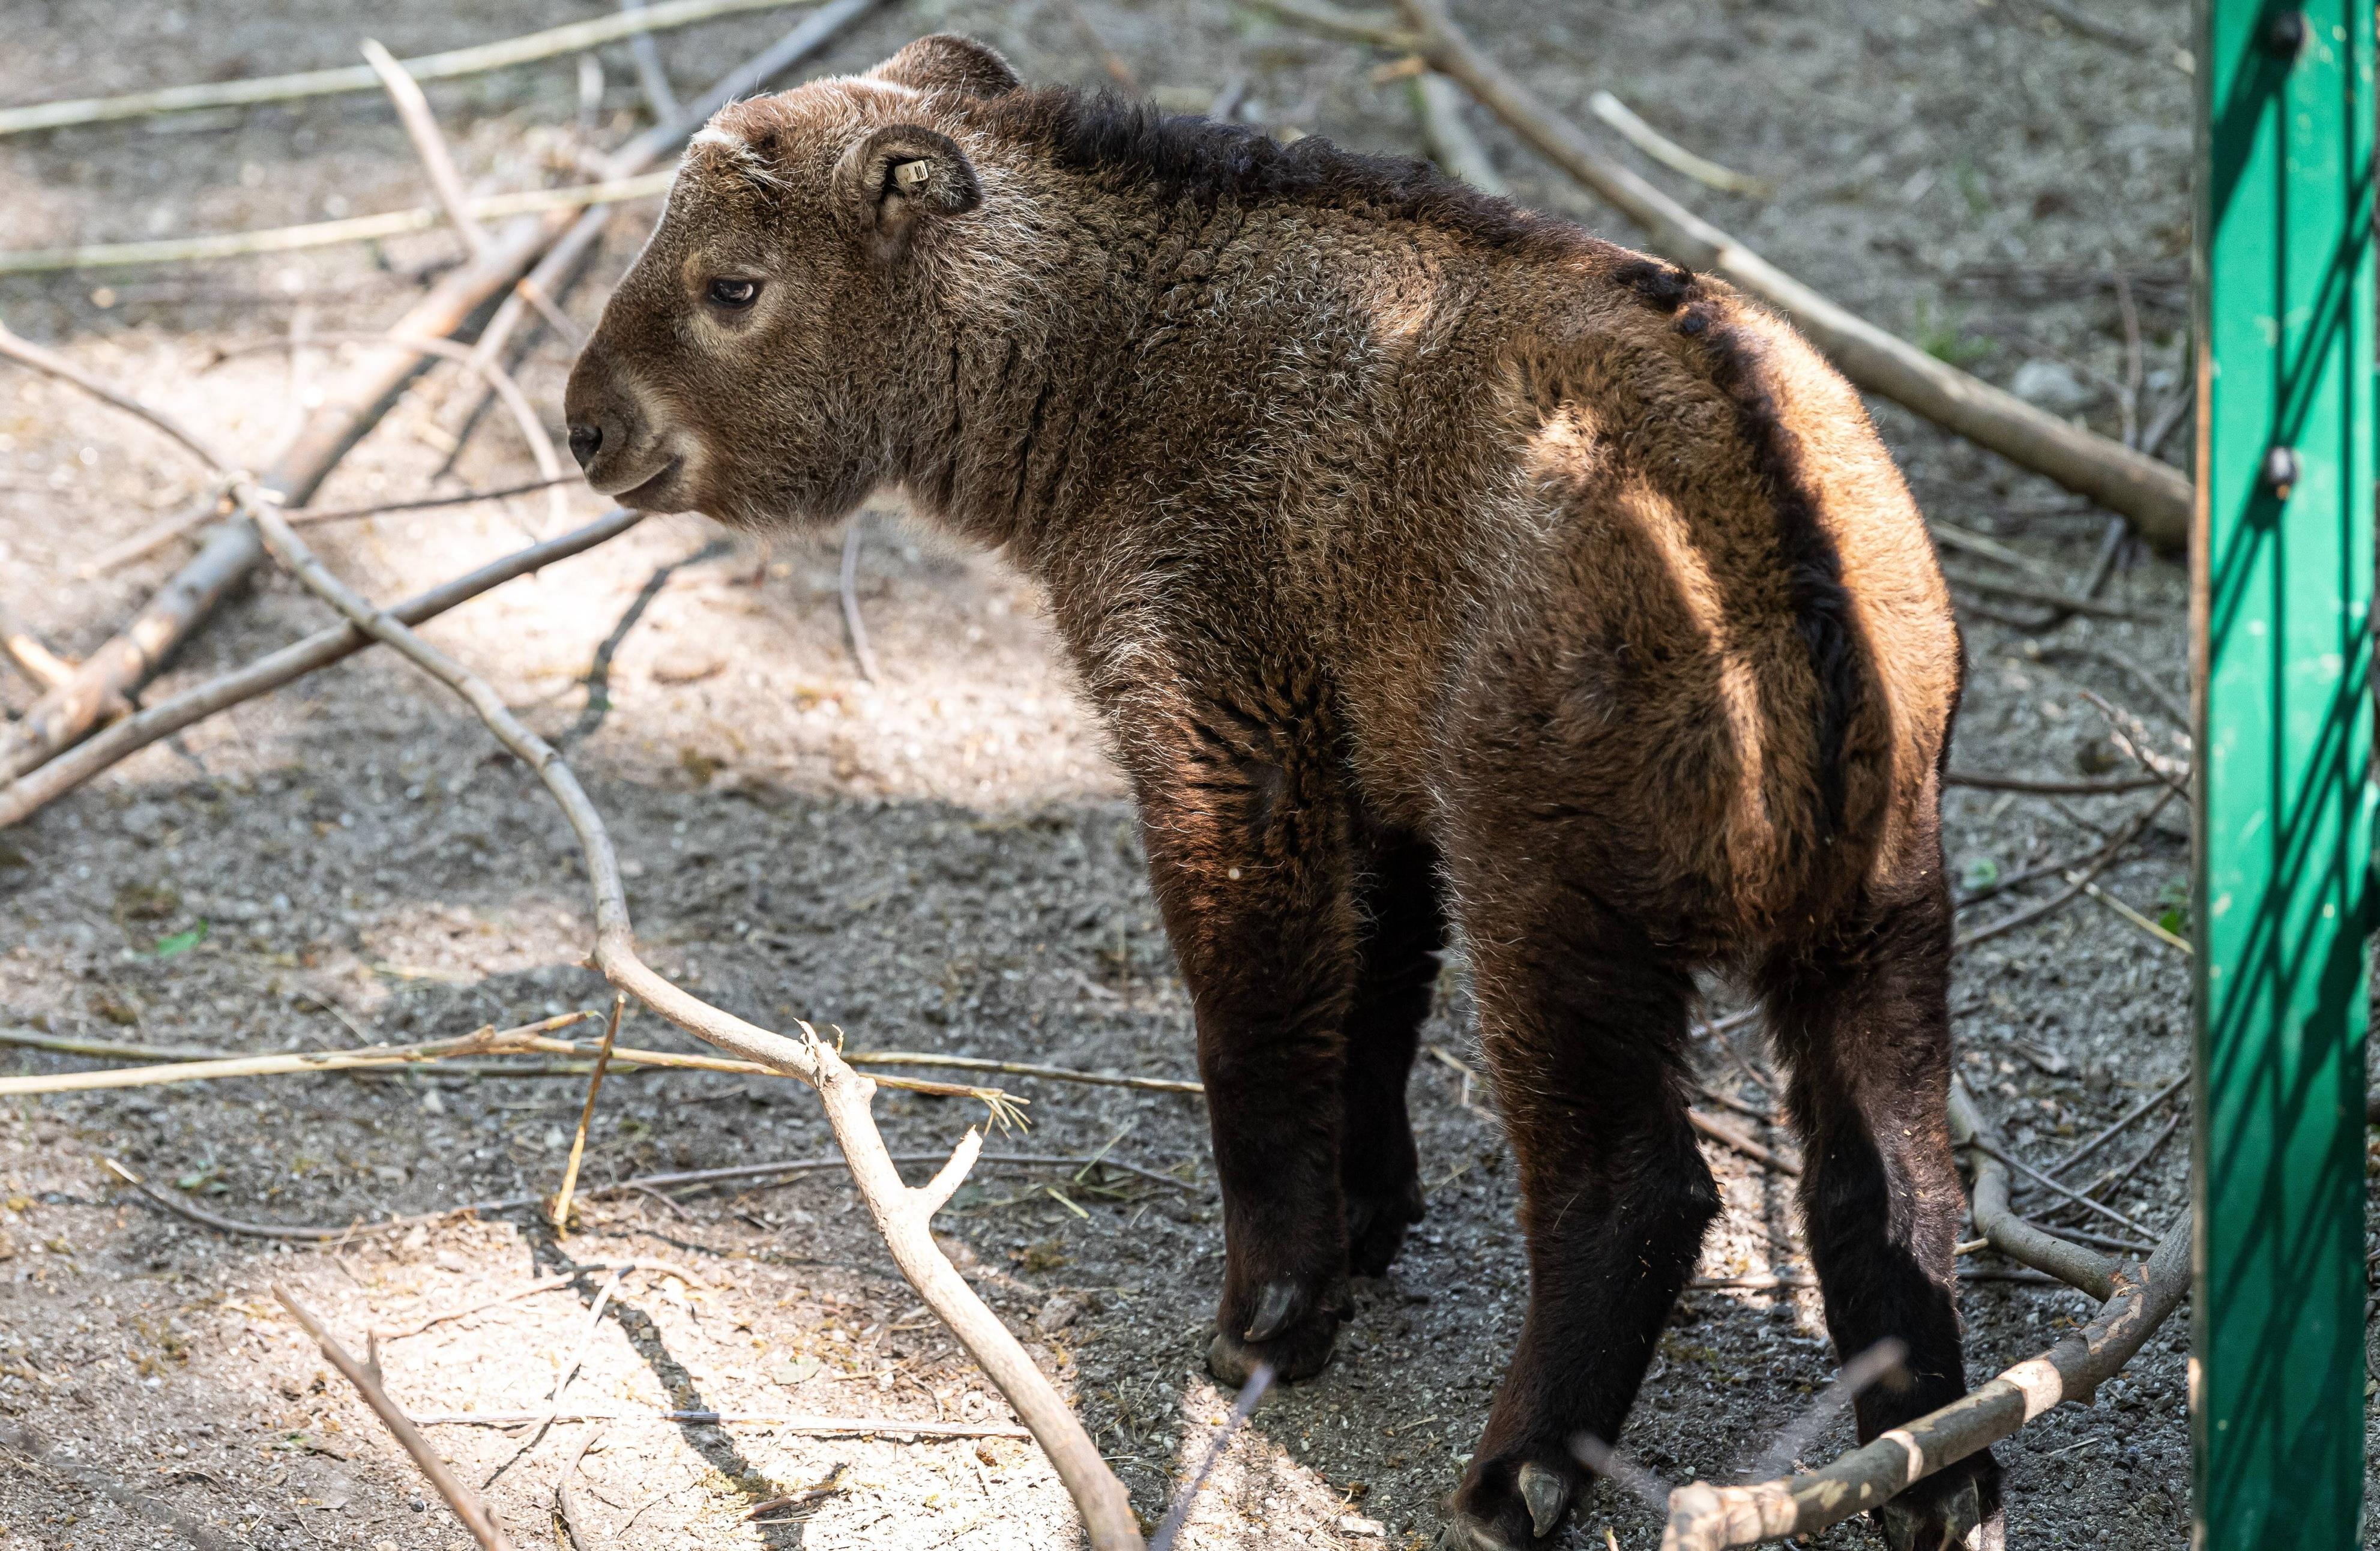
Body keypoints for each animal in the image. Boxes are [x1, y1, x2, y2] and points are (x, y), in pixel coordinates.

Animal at [571, 36, 1989, 1551]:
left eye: (733, 286)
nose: (584, 424)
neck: (1118, 360)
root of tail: (1782, 562)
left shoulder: (1225, 742)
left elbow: (1253, 1028)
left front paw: (1269, 1317)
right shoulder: (1374, 771)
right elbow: (1367, 1005)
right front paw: (1364, 1227)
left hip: (1556, 894)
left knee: (1636, 1186)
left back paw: (1511, 1478)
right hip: (1876, 910)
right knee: (1891, 1181)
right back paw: (1934, 1474)